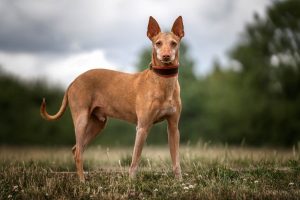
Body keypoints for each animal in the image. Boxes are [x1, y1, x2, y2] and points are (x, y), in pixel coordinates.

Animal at [40, 16, 184, 182]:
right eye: (158, 43)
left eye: (174, 43)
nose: (166, 56)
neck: (163, 82)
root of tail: (73, 81)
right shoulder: (142, 127)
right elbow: (135, 160)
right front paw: (131, 182)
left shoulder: (173, 128)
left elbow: (176, 160)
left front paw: (179, 182)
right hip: (81, 120)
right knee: (78, 153)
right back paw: (82, 182)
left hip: (98, 124)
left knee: (77, 149)